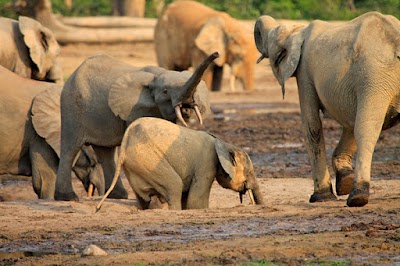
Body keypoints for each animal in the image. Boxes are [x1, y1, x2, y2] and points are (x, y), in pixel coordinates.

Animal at [54, 52, 217, 202]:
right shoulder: (135, 107)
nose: (216, 54)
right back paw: (68, 198)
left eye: (196, 91)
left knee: (106, 153)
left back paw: (119, 196)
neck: (157, 75)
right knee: (71, 148)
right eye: (165, 91)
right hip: (71, 107)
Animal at [96, 117, 266, 211]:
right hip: (149, 161)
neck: (224, 143)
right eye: (248, 172)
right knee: (174, 186)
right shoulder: (206, 164)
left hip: (135, 166)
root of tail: (125, 141)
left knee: (144, 199)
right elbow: (195, 202)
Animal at [255, 11, 398, 207]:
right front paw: (344, 182)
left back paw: (357, 198)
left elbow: (312, 127)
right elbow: (350, 122)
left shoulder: (304, 72)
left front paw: (320, 197)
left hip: (374, 76)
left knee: (366, 128)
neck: (298, 30)